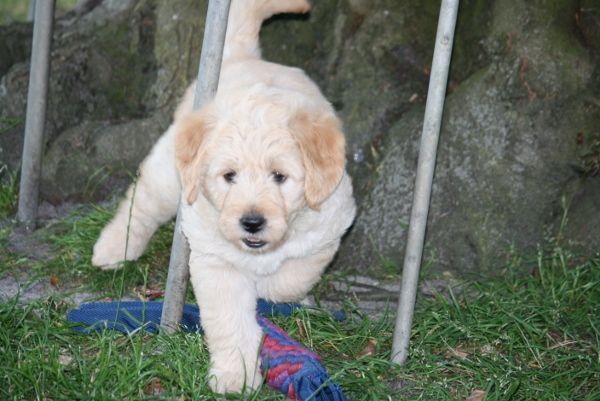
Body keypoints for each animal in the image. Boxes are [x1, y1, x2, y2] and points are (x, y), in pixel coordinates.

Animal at [92, 0, 356, 394]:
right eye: (229, 176)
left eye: (280, 177)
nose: (252, 222)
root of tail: (240, 55)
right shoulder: (215, 260)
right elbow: (230, 320)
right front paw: (236, 376)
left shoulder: (331, 225)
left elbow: (291, 277)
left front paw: (273, 288)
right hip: (171, 174)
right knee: (142, 201)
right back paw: (113, 248)